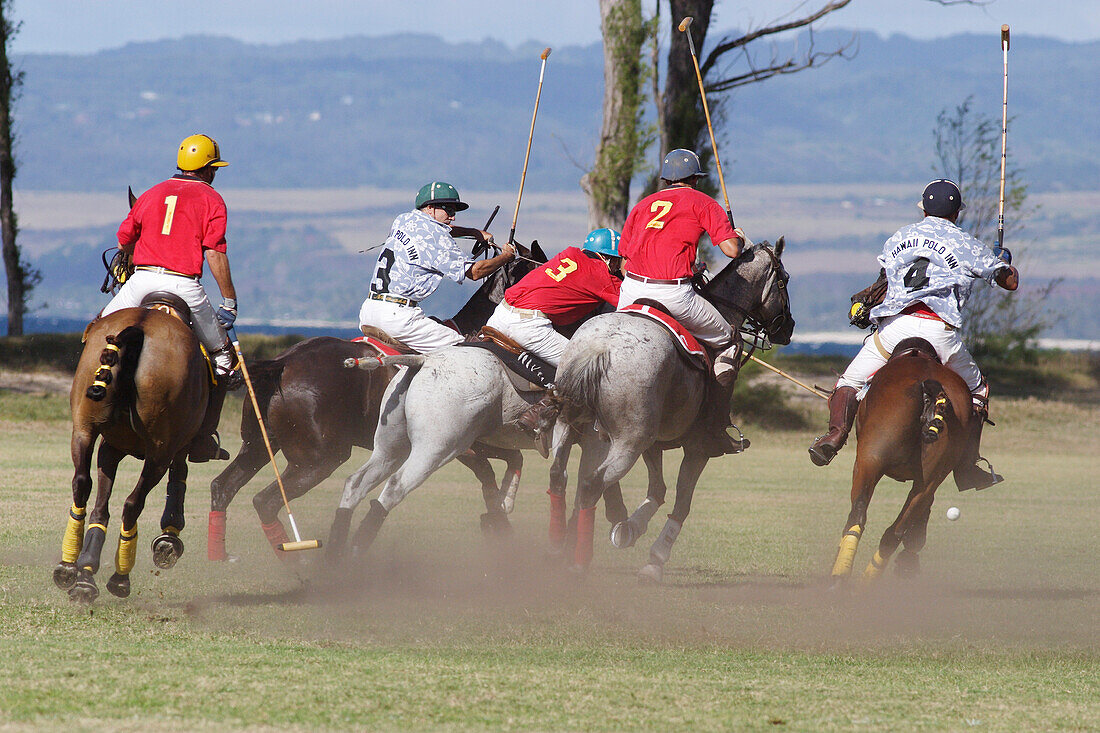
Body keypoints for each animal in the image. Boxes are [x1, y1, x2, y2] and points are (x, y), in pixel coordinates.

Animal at [52, 305, 209, 603]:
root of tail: (140, 324)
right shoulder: (177, 445)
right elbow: (179, 479)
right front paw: (169, 540)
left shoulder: (110, 447)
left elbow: (100, 504)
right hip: (160, 450)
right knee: (133, 503)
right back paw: (119, 577)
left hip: (83, 427)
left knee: (82, 485)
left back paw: (76, 571)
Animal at [205, 241, 545, 559]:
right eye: (537, 266)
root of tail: (283, 362)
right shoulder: (463, 444)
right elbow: (491, 473)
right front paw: (500, 520)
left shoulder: (474, 441)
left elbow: (512, 460)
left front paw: (501, 512)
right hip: (319, 457)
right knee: (266, 499)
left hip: (260, 443)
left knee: (224, 486)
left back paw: (222, 555)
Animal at [554, 242, 796, 581]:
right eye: (784, 280)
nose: (788, 328)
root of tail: (599, 348)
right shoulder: (698, 447)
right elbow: (682, 502)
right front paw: (655, 560)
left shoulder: (654, 443)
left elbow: (657, 490)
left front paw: (628, 529)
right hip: (630, 440)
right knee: (591, 483)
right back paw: (579, 559)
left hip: (572, 425)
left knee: (562, 476)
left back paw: (562, 547)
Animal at [827, 336, 976, 581]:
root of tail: (932, 387)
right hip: (932, 475)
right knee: (894, 531)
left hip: (869, 460)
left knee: (857, 516)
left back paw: (839, 577)